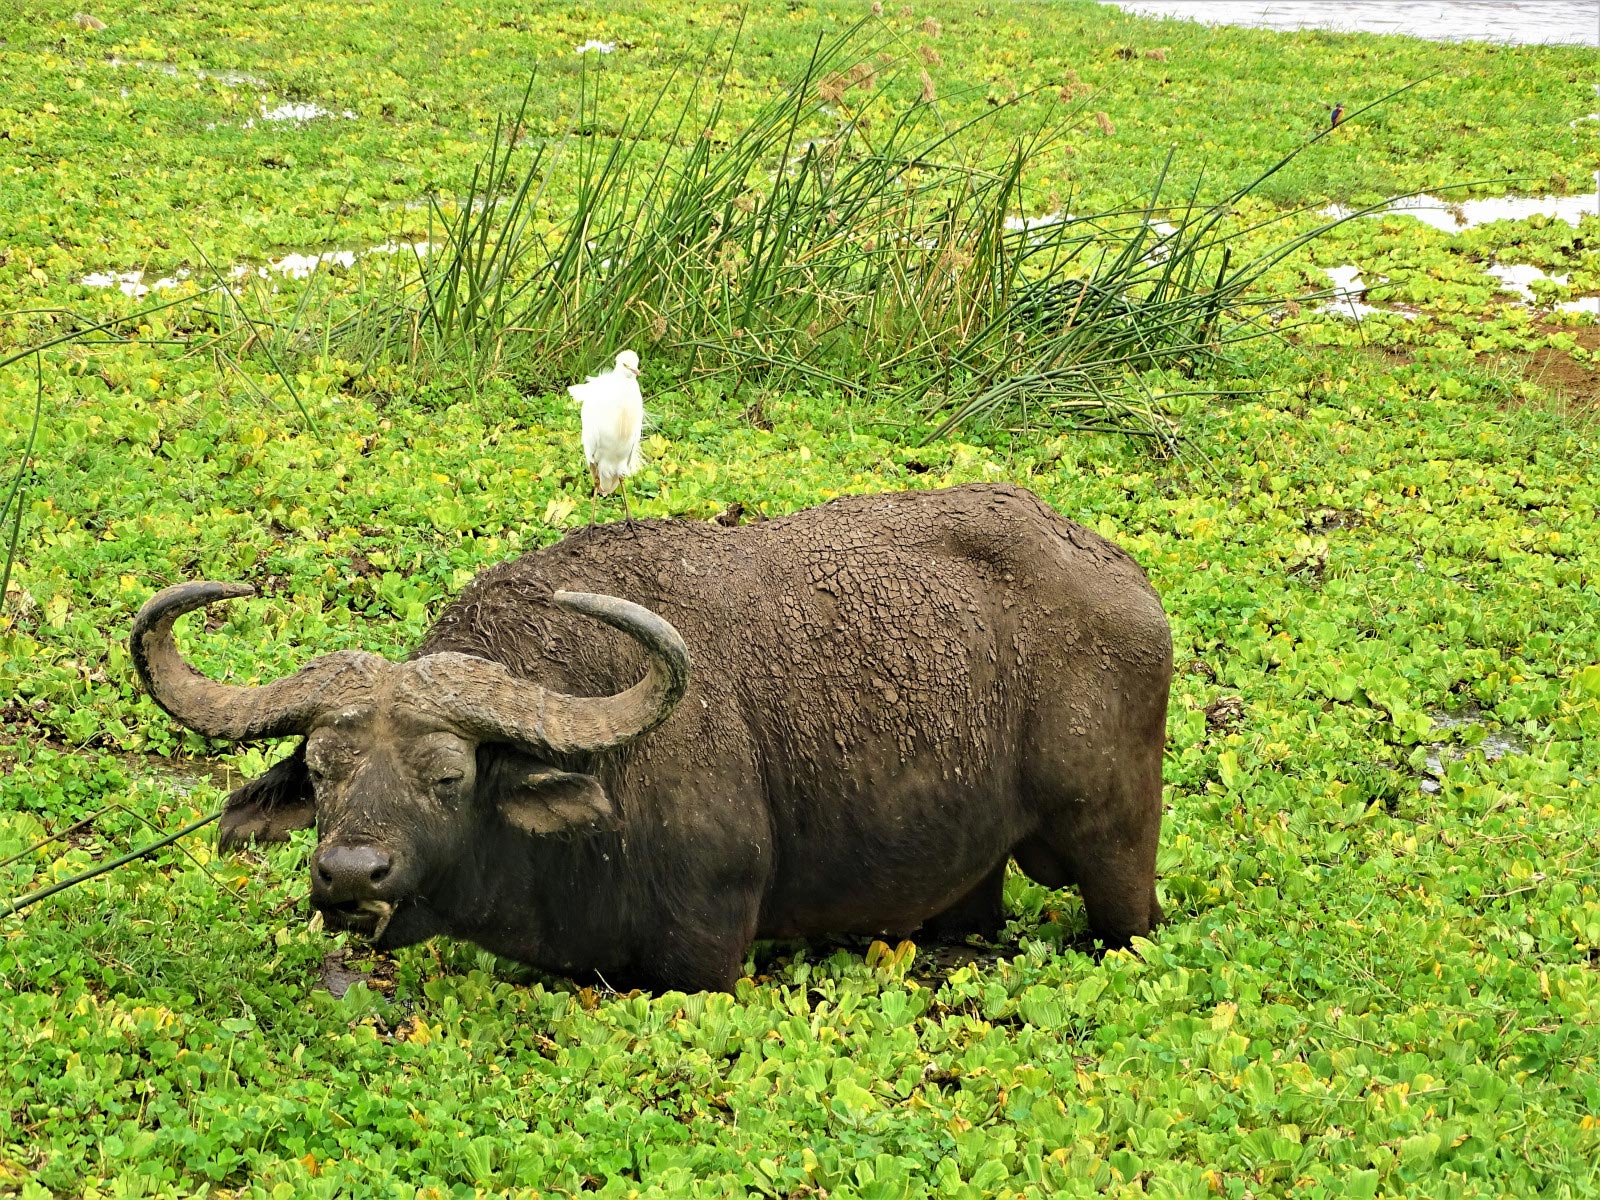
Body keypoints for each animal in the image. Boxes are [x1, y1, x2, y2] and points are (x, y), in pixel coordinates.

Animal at [131, 483, 1171, 992]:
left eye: (448, 776)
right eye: (321, 769)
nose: (351, 875)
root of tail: (1126, 579)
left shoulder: (706, 956)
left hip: (1117, 848)